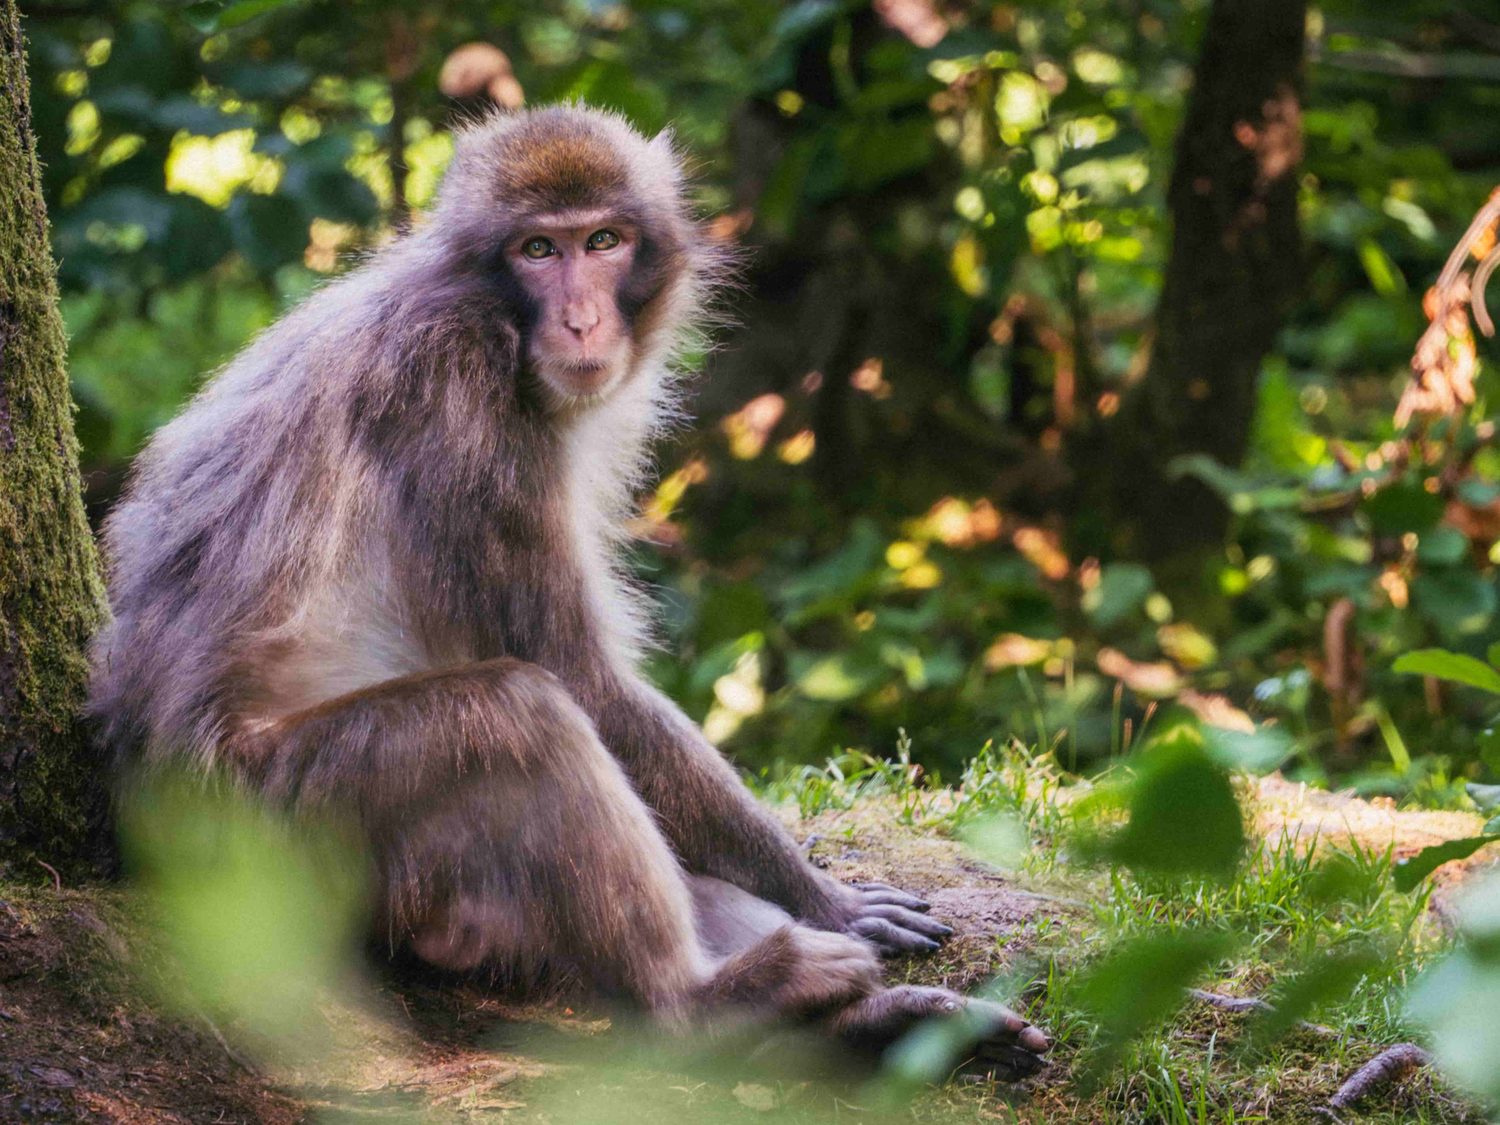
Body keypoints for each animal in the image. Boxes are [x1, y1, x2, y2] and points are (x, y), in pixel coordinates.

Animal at [88, 106, 1049, 1069]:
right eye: (538, 250)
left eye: (604, 240)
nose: (583, 320)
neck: (484, 311)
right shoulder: (459, 398)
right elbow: (578, 674)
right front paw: (828, 897)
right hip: (281, 828)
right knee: (520, 712)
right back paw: (706, 1001)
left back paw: (868, 1024)